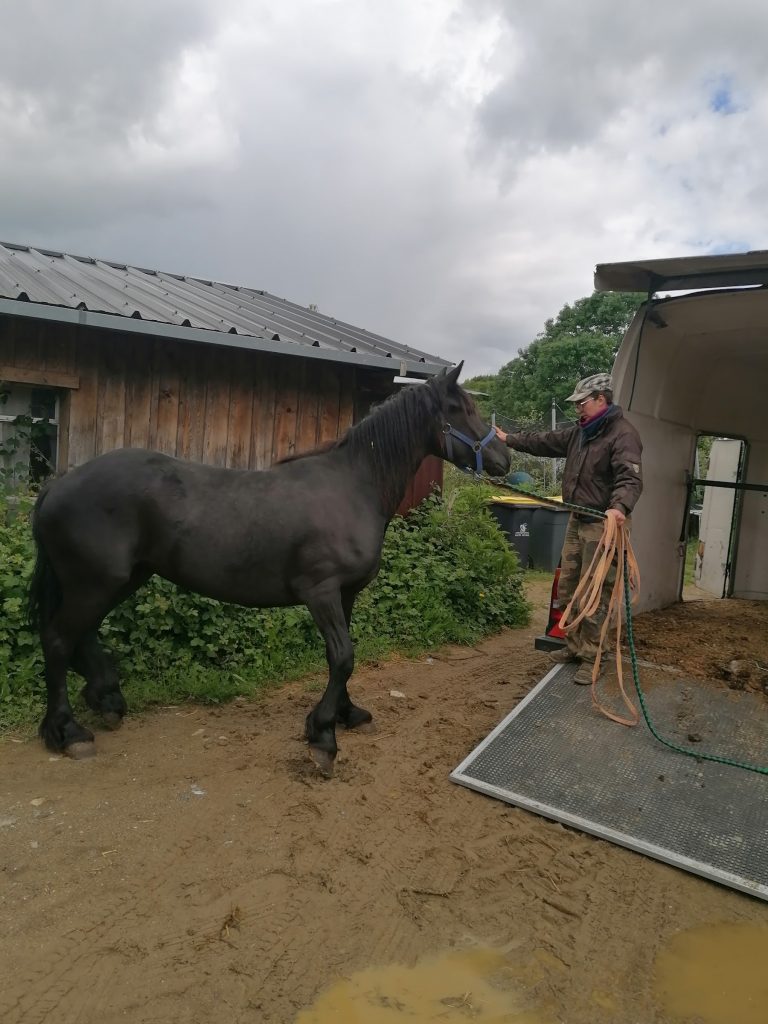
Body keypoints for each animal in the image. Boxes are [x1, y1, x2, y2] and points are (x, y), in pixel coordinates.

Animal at [27, 361, 509, 772]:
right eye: (461, 409)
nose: (504, 460)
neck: (353, 487)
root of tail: (58, 485)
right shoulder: (321, 592)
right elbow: (342, 656)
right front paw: (323, 736)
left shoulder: (345, 594)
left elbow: (345, 657)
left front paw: (346, 713)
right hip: (95, 583)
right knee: (57, 639)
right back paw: (67, 732)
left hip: (122, 579)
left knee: (81, 635)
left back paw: (106, 699)